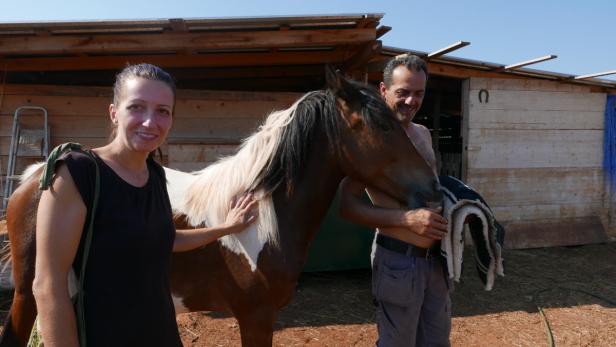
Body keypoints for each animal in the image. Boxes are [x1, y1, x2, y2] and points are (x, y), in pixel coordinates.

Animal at [0, 69, 442, 346]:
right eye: (382, 125)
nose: (434, 189)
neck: (263, 216)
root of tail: (37, 175)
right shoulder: (255, 317)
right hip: (29, 294)